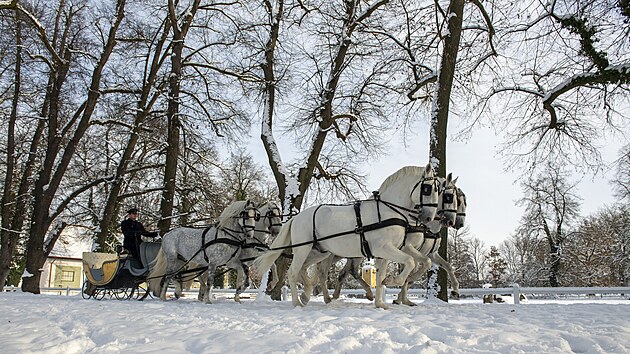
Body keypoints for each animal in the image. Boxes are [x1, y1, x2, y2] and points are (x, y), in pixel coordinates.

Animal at [254, 165, 442, 308]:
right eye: (427, 189)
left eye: (438, 191)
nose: (428, 218)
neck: (388, 211)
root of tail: (297, 217)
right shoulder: (383, 248)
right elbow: (409, 262)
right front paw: (393, 280)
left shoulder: (388, 252)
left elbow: (387, 273)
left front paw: (381, 302)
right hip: (303, 249)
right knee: (293, 272)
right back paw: (297, 301)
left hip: (319, 252)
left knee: (306, 270)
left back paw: (307, 294)